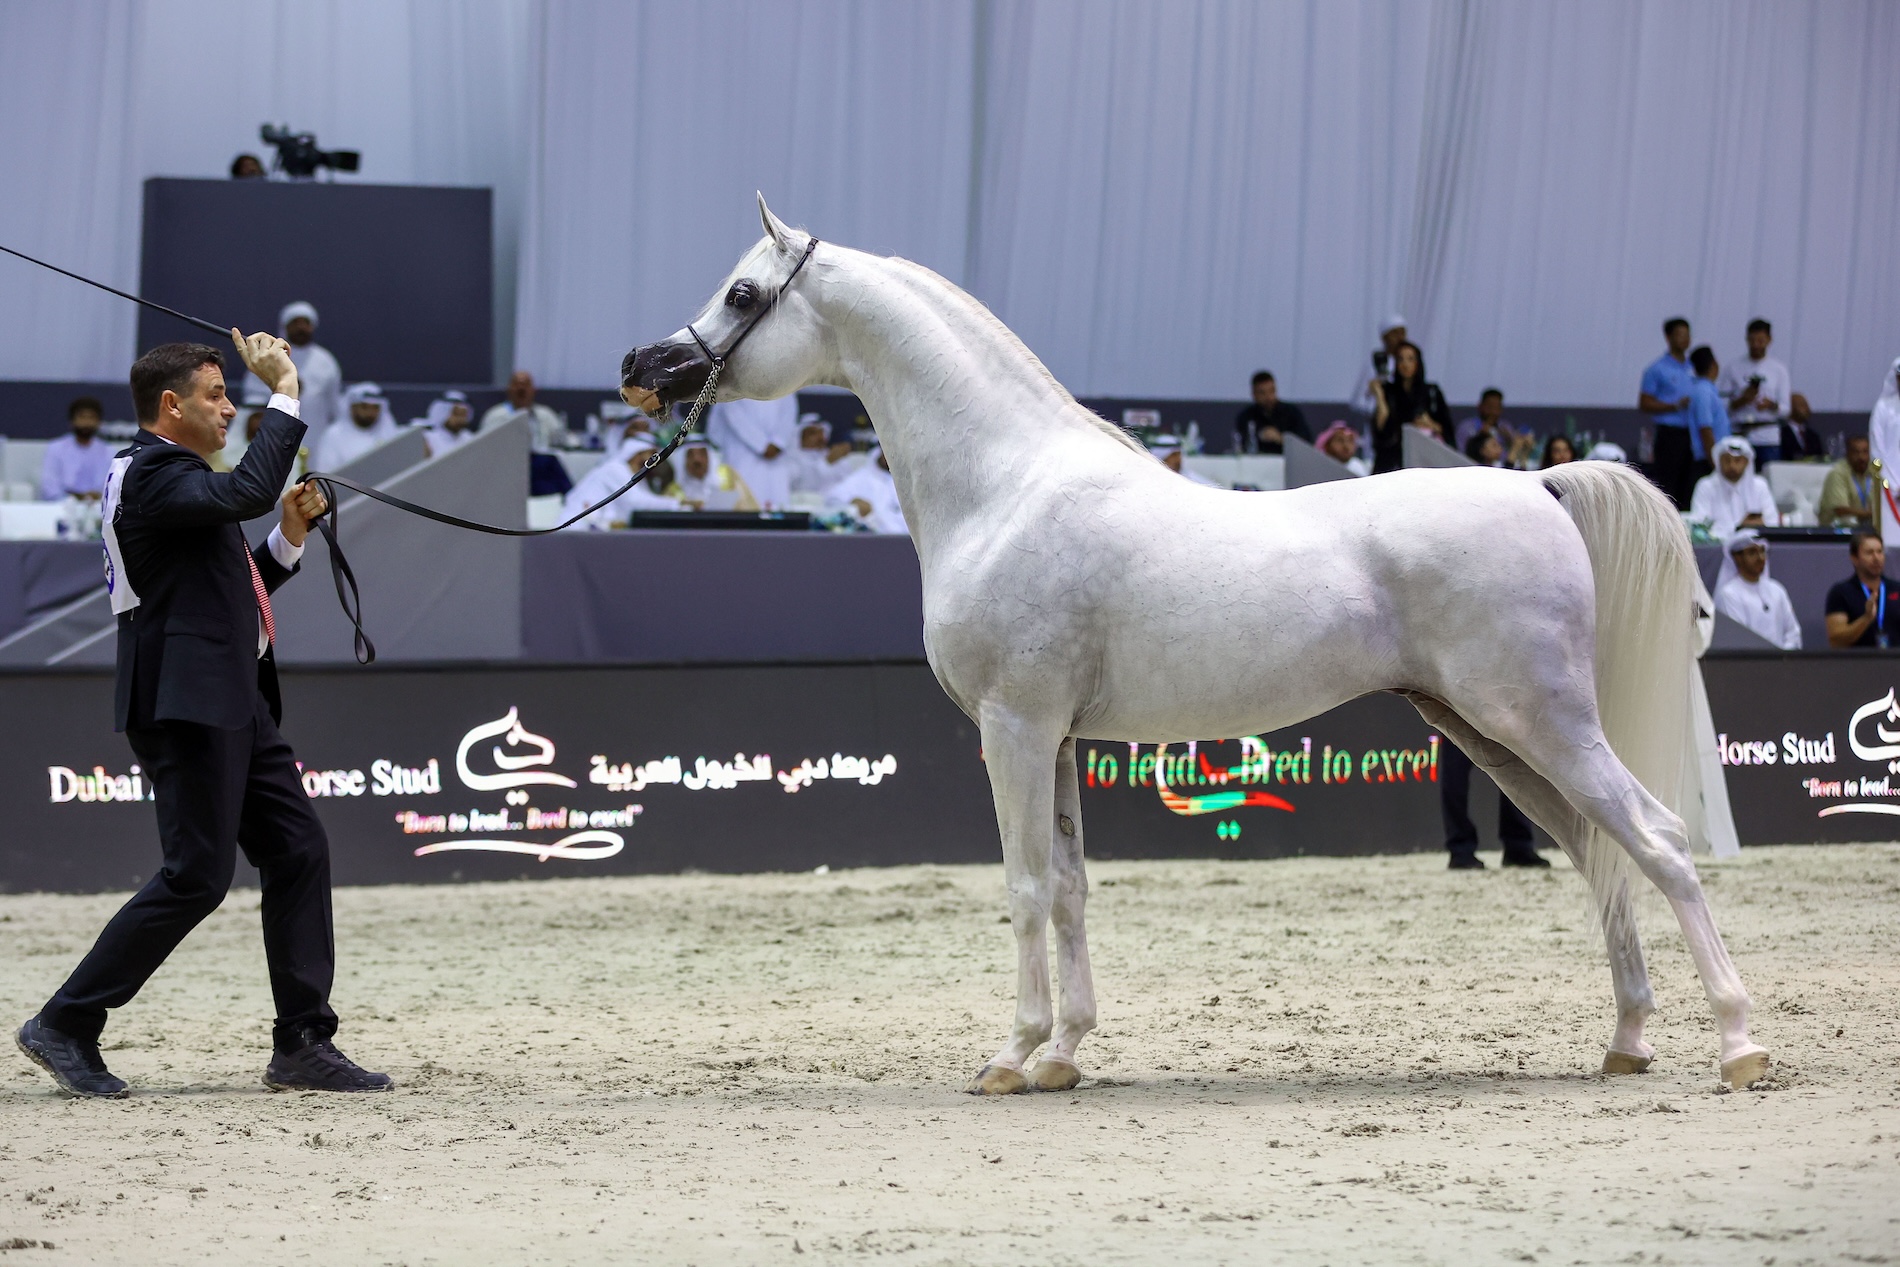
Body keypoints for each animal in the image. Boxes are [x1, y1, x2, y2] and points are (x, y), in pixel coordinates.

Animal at [622, 195, 1771, 1095]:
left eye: (741, 294)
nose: (643, 364)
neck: (1008, 483)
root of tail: (1538, 482)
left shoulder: (1015, 727)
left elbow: (1025, 887)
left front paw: (1014, 1053)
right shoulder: (1060, 739)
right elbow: (1071, 888)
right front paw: (1065, 1055)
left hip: (1541, 722)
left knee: (1659, 839)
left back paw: (1738, 1044)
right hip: (1494, 734)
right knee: (1597, 853)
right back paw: (1627, 1040)